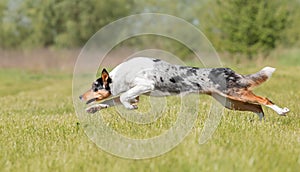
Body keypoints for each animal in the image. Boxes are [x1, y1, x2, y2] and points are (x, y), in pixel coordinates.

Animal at [78, 57, 290, 119]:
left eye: (94, 87)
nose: (80, 97)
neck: (120, 76)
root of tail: (229, 70)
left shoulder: (146, 84)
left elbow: (122, 99)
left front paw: (131, 107)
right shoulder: (137, 92)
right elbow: (112, 101)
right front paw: (92, 109)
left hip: (235, 93)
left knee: (264, 100)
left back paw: (282, 111)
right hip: (230, 102)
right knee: (257, 107)